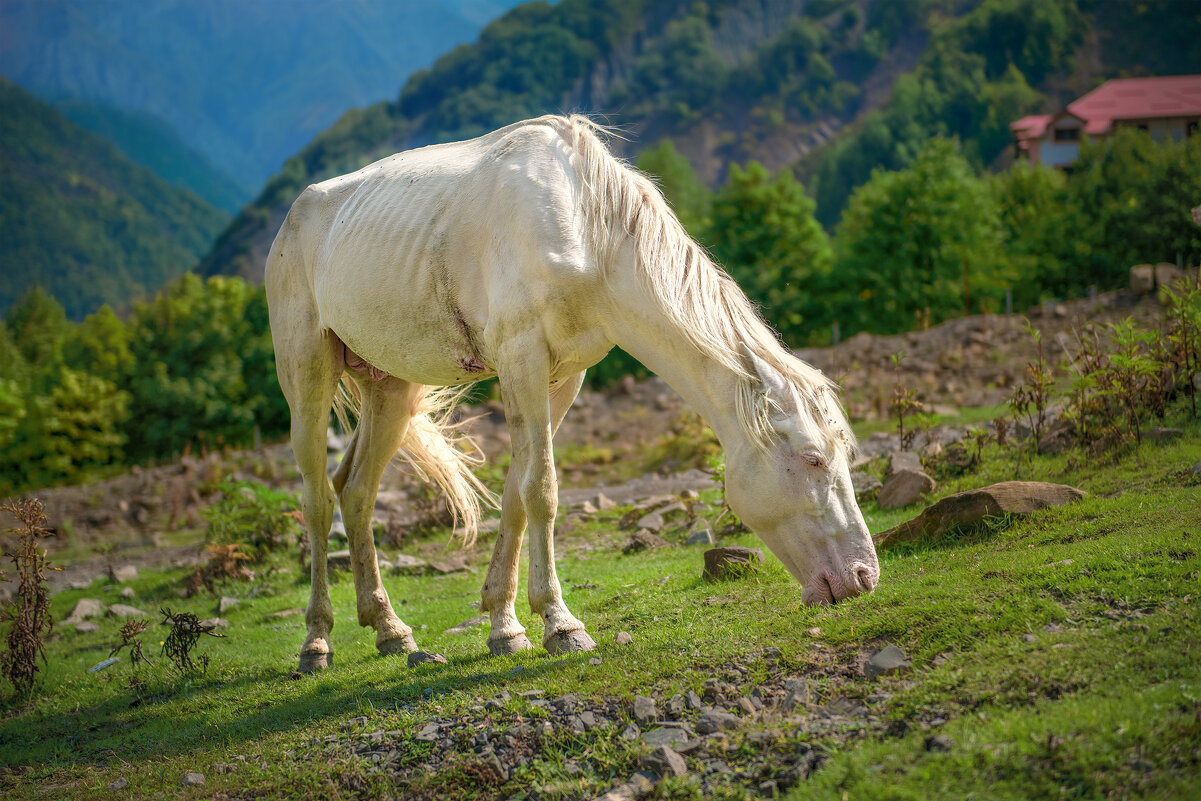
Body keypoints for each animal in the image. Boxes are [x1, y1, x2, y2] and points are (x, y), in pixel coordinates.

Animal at [265, 115, 883, 672]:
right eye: (813, 460)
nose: (863, 578)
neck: (587, 230)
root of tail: (296, 216)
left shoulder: (563, 377)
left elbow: (517, 494)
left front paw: (506, 627)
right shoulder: (522, 360)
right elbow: (542, 490)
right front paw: (561, 626)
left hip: (391, 387)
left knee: (356, 492)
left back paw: (392, 633)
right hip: (307, 372)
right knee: (318, 501)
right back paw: (315, 644)